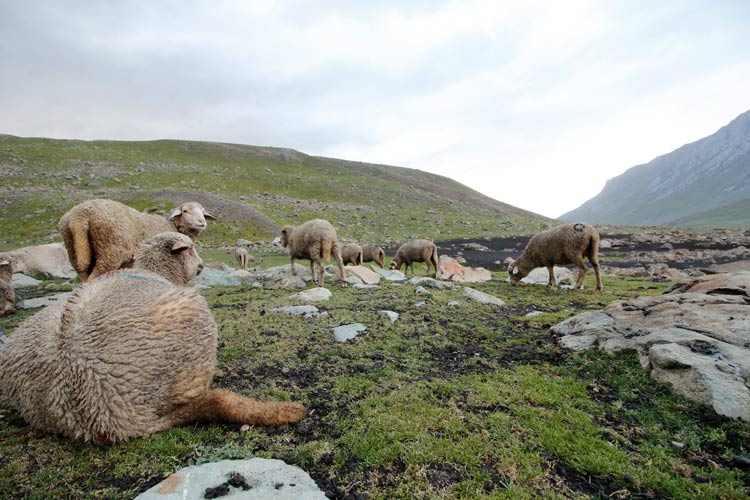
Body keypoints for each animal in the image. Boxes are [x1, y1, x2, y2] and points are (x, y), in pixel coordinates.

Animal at [58, 200, 216, 286]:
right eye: (185, 211)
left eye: (203, 211)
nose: (202, 222)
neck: (172, 225)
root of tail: (80, 216)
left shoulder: (130, 262)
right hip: (110, 252)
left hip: (75, 249)